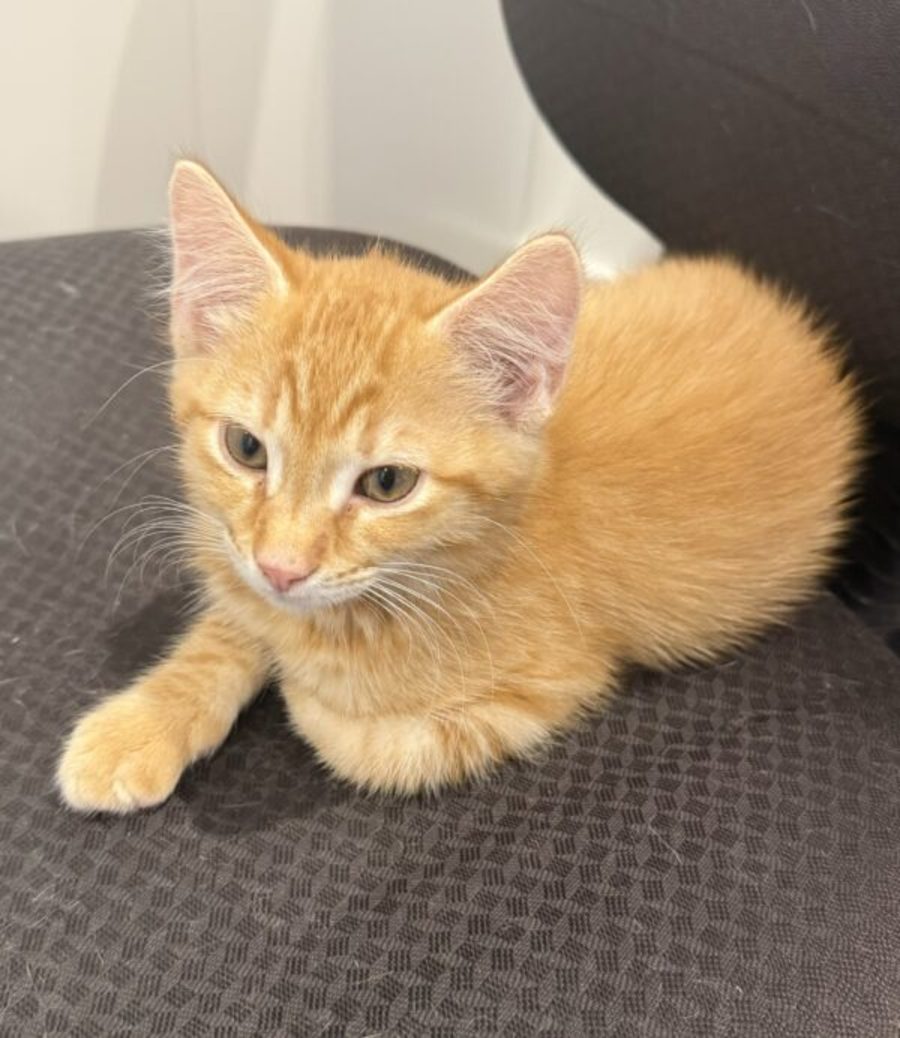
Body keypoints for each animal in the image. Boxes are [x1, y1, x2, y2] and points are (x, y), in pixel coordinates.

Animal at [57, 160, 863, 812]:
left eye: (387, 482)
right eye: (246, 448)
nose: (283, 568)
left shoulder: (550, 688)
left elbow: (371, 745)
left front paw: (306, 692)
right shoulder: (247, 570)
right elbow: (231, 623)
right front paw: (140, 724)